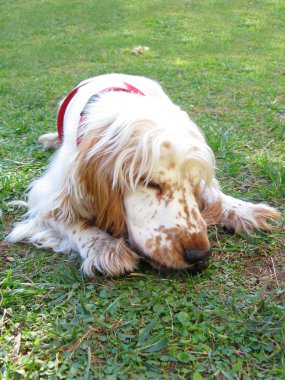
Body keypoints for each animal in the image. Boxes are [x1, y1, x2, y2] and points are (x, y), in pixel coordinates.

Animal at [7, 73, 280, 276]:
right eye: (149, 183)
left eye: (193, 186)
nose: (199, 256)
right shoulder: (49, 193)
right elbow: (67, 218)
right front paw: (104, 247)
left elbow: (214, 194)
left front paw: (243, 209)